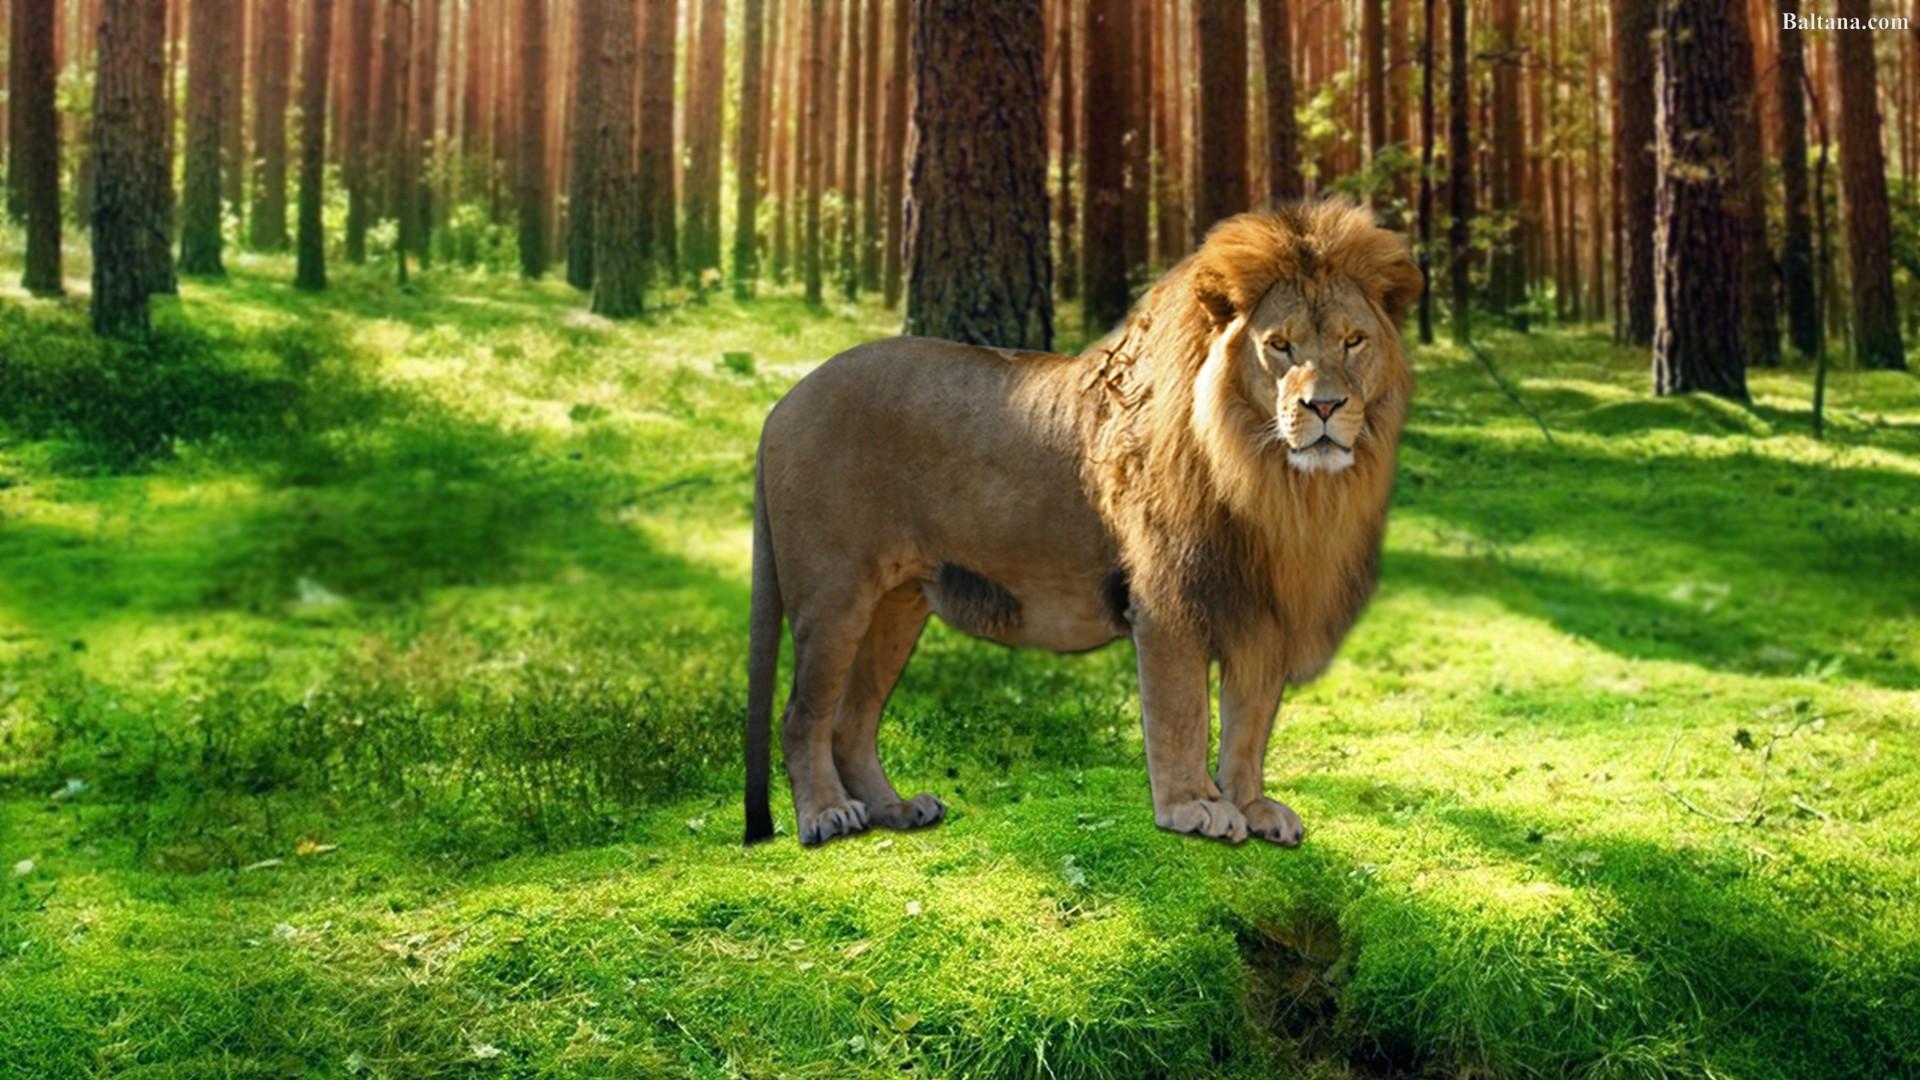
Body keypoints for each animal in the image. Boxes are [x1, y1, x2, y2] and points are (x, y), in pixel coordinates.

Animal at [744, 200, 1423, 847]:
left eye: (1353, 341)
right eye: (1279, 345)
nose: (1325, 406)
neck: (1276, 483)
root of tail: (784, 401)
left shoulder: (1261, 610)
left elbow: (1250, 725)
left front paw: (1251, 807)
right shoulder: (1168, 600)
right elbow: (1181, 712)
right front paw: (1194, 807)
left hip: (898, 604)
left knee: (851, 720)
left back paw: (896, 809)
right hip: (835, 595)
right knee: (802, 715)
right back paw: (828, 814)